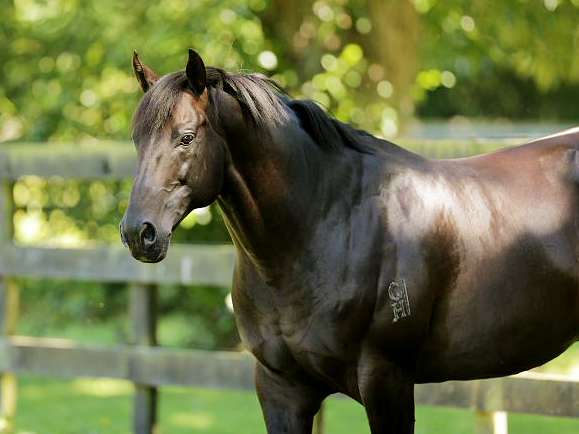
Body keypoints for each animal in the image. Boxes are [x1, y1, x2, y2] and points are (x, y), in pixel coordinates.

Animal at [120, 49, 579, 432]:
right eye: (137, 139)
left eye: (186, 136)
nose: (138, 233)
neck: (325, 222)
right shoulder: (281, 389)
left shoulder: (386, 381)